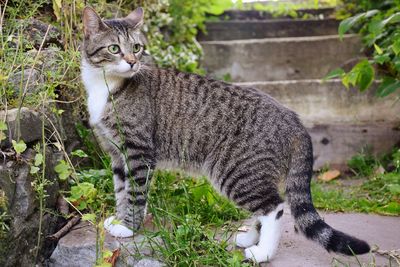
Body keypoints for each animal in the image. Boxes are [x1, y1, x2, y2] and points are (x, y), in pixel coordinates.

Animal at [79, 6, 370, 264]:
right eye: (114, 49)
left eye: (137, 47)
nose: (132, 62)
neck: (105, 87)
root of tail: (292, 116)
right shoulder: (117, 153)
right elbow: (120, 189)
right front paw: (119, 218)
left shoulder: (139, 152)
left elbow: (135, 192)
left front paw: (129, 226)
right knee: (264, 206)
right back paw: (251, 237)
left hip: (235, 170)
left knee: (274, 207)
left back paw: (262, 253)